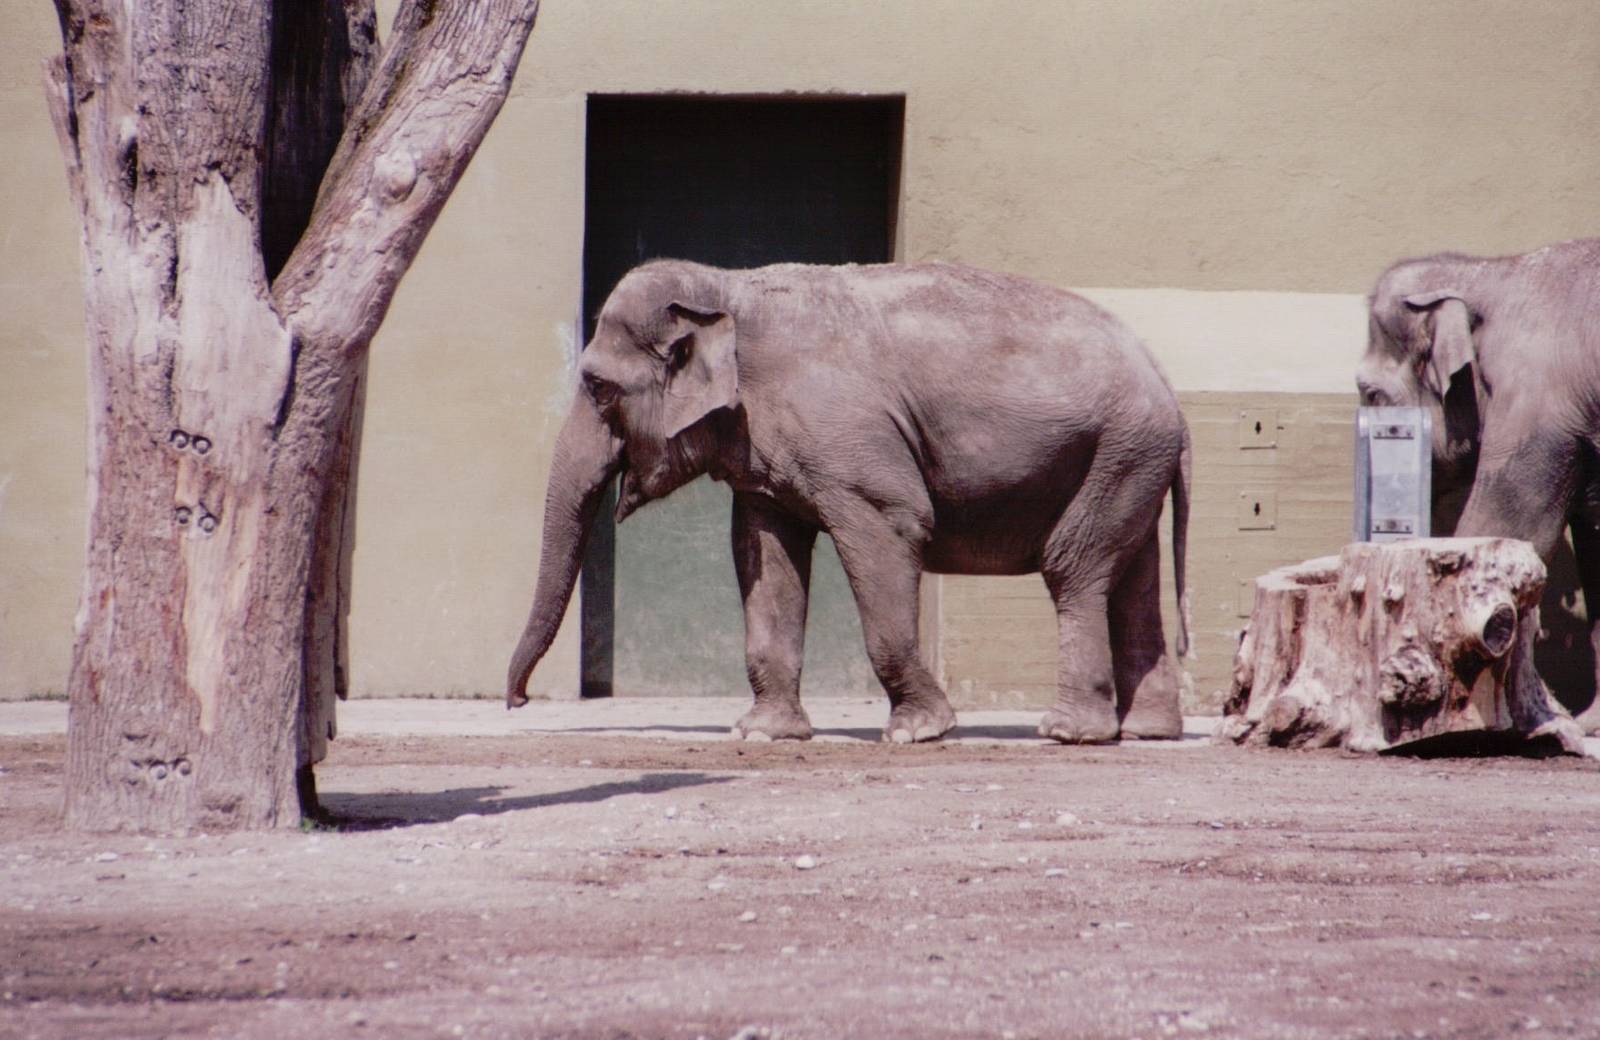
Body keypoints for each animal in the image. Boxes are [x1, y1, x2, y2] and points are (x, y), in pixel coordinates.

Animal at [507, 260, 1192, 744]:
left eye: (598, 388)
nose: (517, 701)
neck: (727, 287)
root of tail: (1168, 388)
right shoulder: (763, 454)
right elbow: (765, 554)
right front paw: (760, 735)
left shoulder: (852, 446)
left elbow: (893, 525)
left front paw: (918, 732)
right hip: (1130, 462)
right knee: (1132, 578)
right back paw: (1147, 732)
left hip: (1118, 452)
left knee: (1072, 567)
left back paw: (1069, 732)